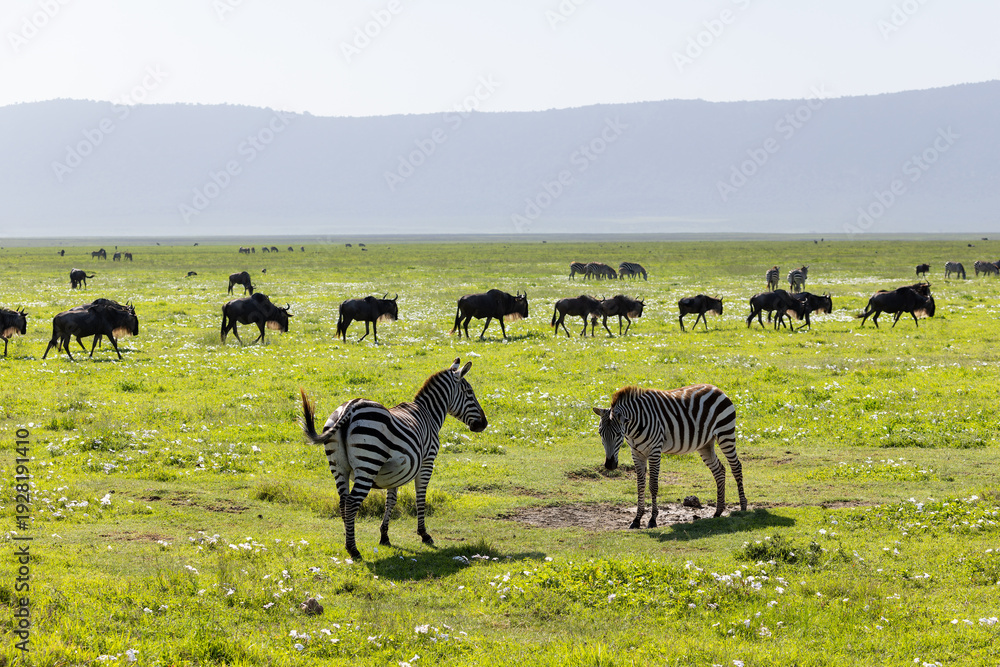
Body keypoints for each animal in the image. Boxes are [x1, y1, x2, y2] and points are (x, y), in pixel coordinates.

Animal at [300, 359, 488, 560]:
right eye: (470, 393)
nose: (484, 424)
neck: (429, 413)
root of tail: (350, 407)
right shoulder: (427, 462)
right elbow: (420, 497)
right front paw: (424, 534)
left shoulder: (395, 471)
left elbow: (391, 500)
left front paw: (384, 536)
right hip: (368, 463)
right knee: (351, 503)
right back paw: (353, 549)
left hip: (338, 466)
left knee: (343, 502)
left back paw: (347, 540)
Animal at [592, 384, 747, 528]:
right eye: (600, 433)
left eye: (618, 434)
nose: (609, 465)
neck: (634, 428)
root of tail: (716, 388)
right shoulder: (636, 453)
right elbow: (640, 485)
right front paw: (636, 519)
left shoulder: (654, 451)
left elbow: (653, 485)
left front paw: (653, 519)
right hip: (705, 444)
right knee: (719, 470)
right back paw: (718, 511)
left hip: (725, 433)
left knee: (736, 467)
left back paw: (743, 507)